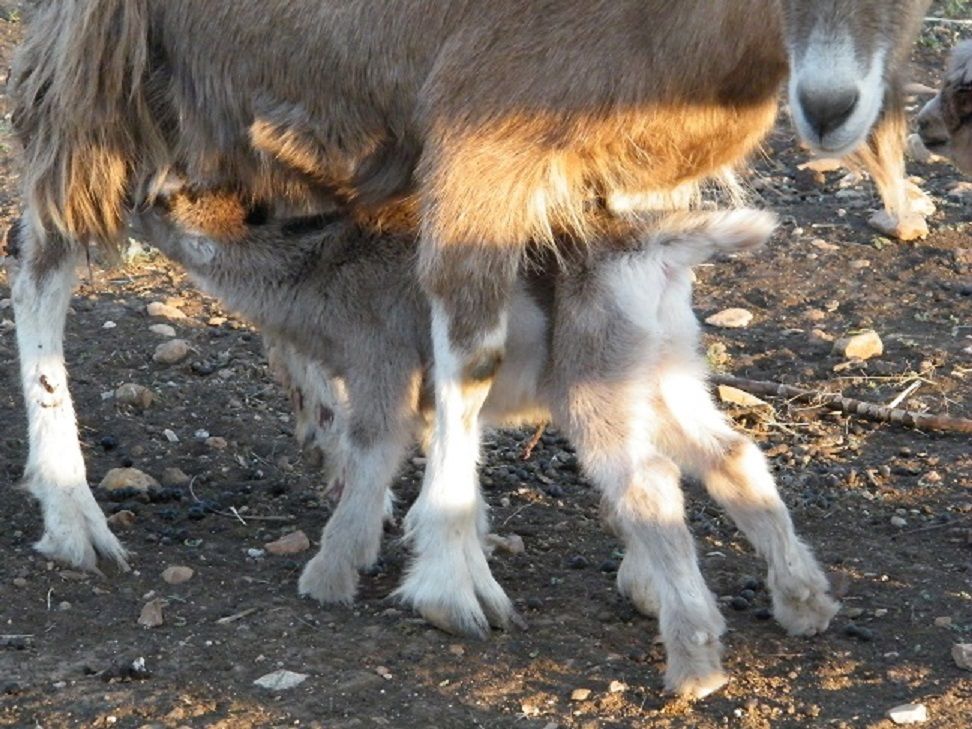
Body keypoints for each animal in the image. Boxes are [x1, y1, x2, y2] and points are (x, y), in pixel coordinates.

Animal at [129, 190, 837, 698]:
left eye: (173, 196)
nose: (131, 205)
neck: (322, 266)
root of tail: (657, 246)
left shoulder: (382, 372)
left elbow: (369, 459)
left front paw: (329, 576)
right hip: (670, 374)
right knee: (733, 457)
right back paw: (805, 604)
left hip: (597, 391)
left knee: (652, 487)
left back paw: (696, 667)